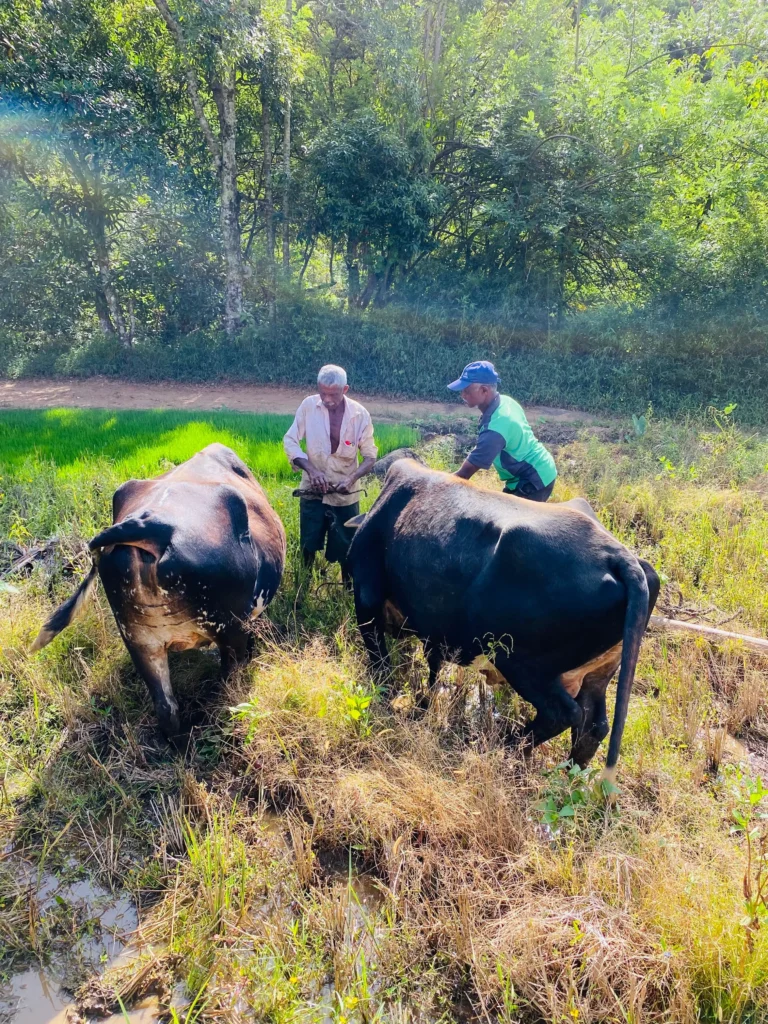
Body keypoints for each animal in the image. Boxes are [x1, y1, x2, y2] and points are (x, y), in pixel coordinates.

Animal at [345, 460, 659, 778]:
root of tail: (620, 557)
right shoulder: (436, 633)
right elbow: (434, 670)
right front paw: (424, 705)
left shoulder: (366, 598)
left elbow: (380, 661)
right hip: (597, 674)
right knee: (593, 727)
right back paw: (567, 776)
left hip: (524, 665)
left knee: (564, 714)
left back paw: (504, 748)